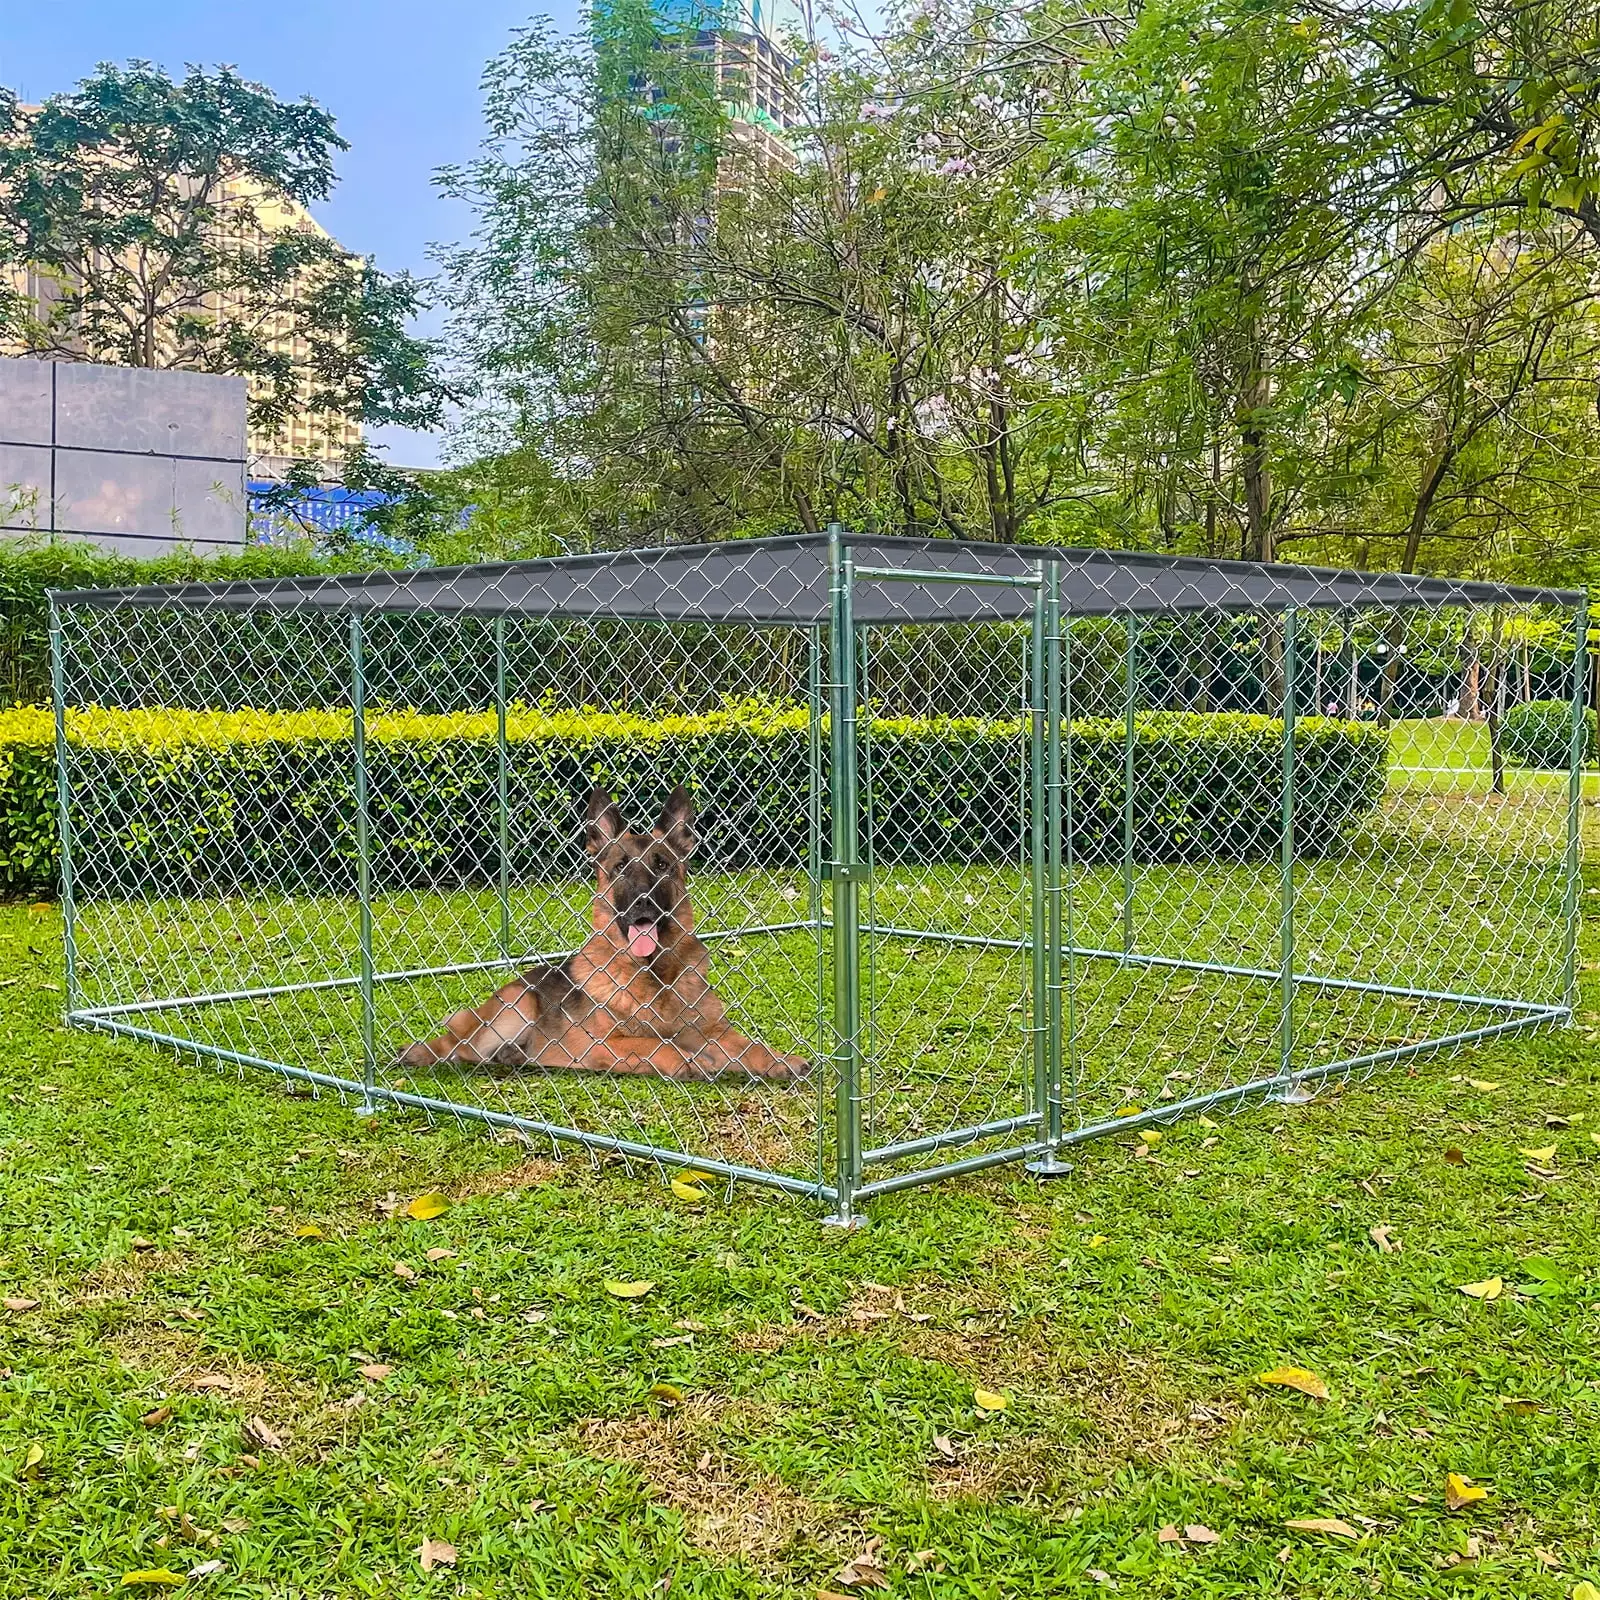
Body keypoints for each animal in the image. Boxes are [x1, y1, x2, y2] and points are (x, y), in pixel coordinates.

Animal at [393, 787, 806, 1088]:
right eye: (620, 867)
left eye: (662, 865)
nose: (641, 902)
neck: (654, 974)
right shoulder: (603, 1042)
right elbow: (652, 1041)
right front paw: (686, 1059)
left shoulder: (712, 1030)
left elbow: (747, 1045)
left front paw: (780, 1059)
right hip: (515, 1007)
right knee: (457, 1047)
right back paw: (422, 1053)